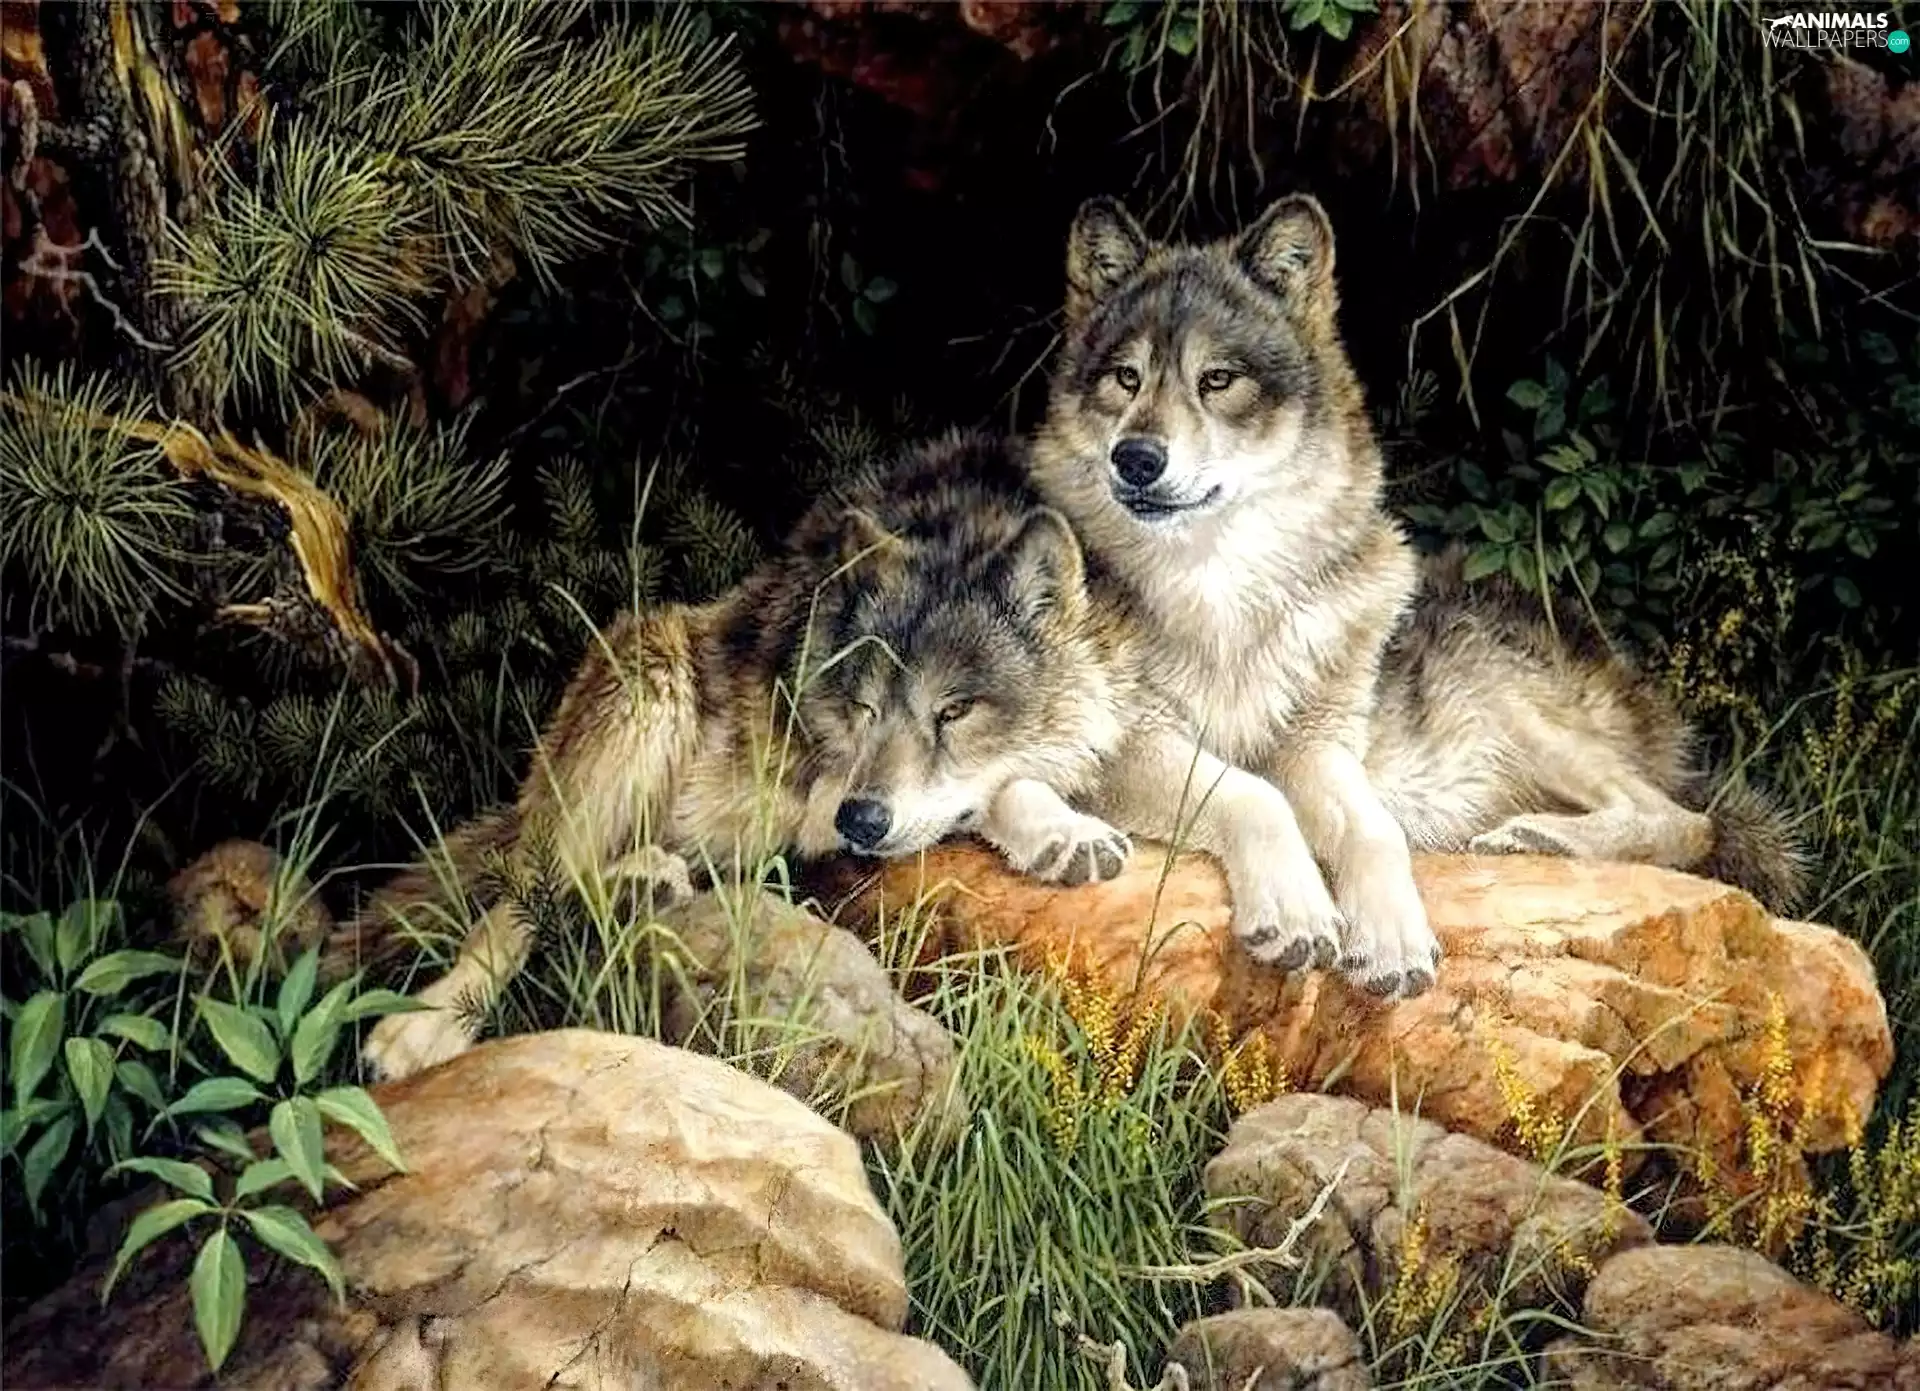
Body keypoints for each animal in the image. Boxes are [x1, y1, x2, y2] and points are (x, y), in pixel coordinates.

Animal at [357, 432, 1145, 1079]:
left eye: (954, 711)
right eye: (864, 708)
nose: (861, 821)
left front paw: (1065, 831)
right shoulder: (813, 785)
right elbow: (992, 788)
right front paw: (1064, 832)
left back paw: (642, 885)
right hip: (647, 674)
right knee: (524, 896)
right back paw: (419, 1032)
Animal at [1025, 193, 1802, 1000]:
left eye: (1217, 379)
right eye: (1125, 377)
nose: (1136, 458)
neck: (1223, 599)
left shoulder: (1323, 745)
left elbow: (1374, 828)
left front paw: (1392, 942)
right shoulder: (1125, 742)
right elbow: (1250, 793)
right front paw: (1300, 914)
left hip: (1506, 700)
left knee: (1684, 818)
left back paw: (1535, 835)